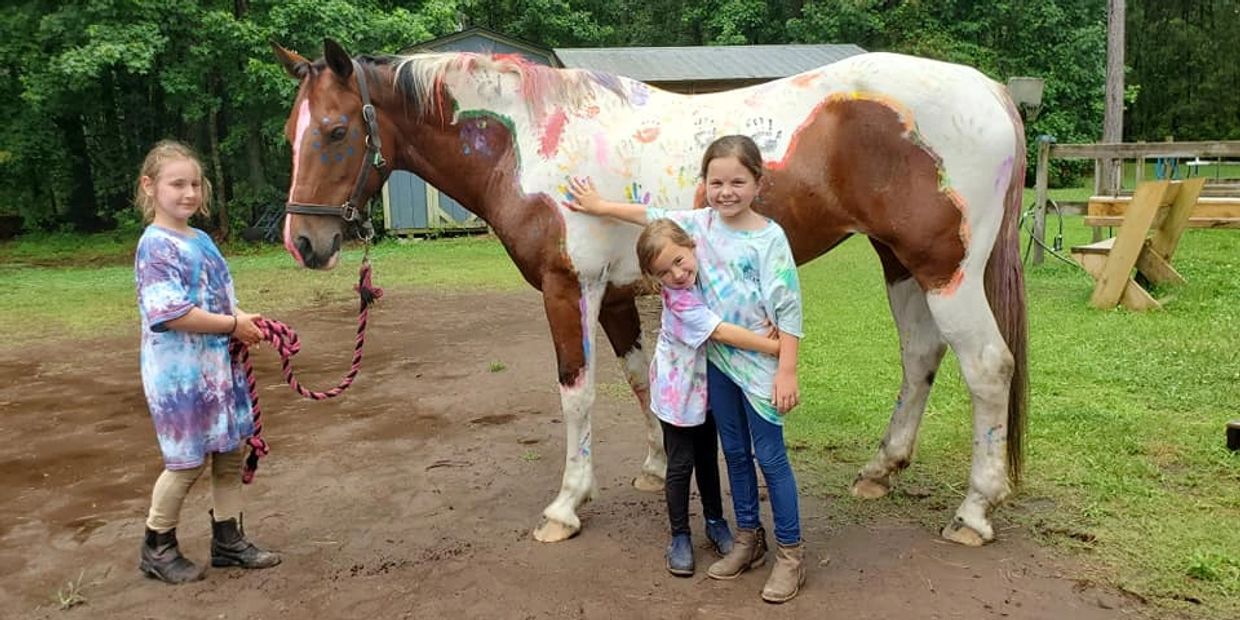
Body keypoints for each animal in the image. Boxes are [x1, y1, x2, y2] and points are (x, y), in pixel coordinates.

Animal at [276, 38, 1031, 545]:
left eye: (337, 130)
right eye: (292, 133)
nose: (304, 244)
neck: (530, 145)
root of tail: (990, 91)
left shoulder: (569, 290)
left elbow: (576, 392)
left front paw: (567, 505)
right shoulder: (615, 296)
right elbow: (641, 379)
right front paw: (654, 463)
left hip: (946, 270)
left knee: (987, 368)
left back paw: (974, 511)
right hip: (901, 262)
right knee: (921, 357)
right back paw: (880, 470)